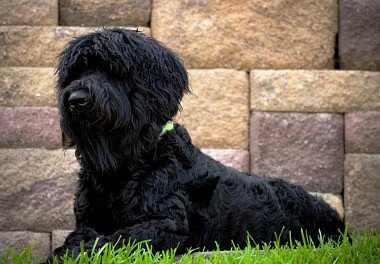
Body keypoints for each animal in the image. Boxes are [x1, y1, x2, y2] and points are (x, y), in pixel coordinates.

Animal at [49, 28, 346, 260]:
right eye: (76, 72)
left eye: (112, 70)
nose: (76, 99)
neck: (125, 165)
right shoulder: (89, 217)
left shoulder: (169, 225)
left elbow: (122, 237)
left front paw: (77, 249)